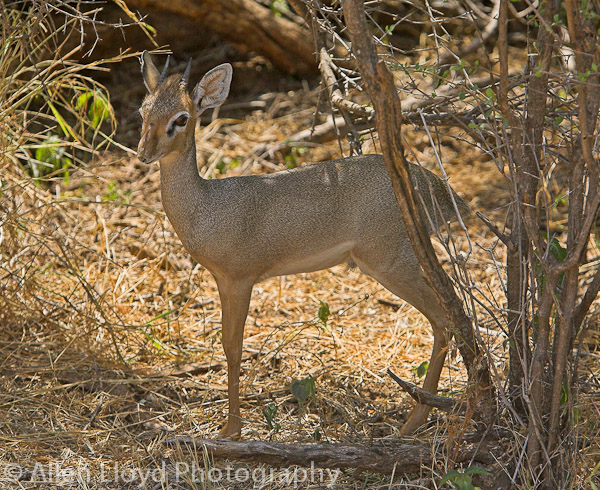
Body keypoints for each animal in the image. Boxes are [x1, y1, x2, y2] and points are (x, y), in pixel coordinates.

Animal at [137, 52, 468, 438]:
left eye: (182, 118)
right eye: (144, 110)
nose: (144, 153)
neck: (207, 208)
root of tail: (441, 190)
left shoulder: (240, 280)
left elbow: (234, 347)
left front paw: (231, 429)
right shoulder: (221, 281)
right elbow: (225, 343)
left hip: (391, 263)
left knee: (444, 318)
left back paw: (414, 421)